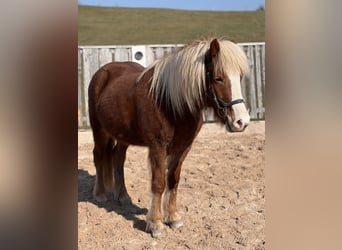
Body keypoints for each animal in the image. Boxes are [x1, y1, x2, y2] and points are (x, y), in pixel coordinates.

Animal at [87, 36, 250, 236]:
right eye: (218, 78)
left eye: (240, 77)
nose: (242, 122)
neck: (170, 102)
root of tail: (102, 72)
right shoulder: (158, 146)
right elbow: (158, 183)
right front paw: (155, 224)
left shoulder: (183, 147)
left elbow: (173, 180)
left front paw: (172, 217)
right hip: (99, 130)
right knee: (99, 156)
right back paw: (100, 194)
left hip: (123, 135)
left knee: (118, 158)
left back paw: (123, 196)